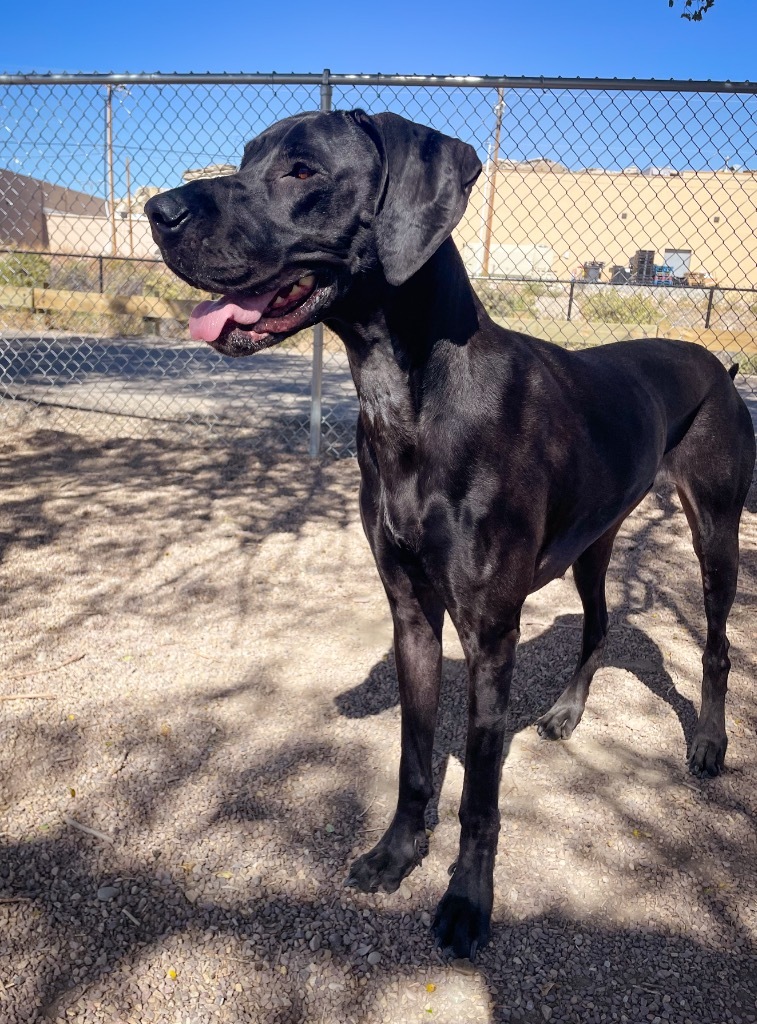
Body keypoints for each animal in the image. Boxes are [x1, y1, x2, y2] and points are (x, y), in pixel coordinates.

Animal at [145, 112, 753, 958]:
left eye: (302, 170)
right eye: (246, 158)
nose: (157, 210)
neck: (410, 399)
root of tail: (717, 364)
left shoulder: (489, 632)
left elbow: (481, 794)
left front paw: (466, 900)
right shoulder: (411, 612)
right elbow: (413, 756)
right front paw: (397, 852)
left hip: (715, 532)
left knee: (716, 645)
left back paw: (707, 743)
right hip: (593, 544)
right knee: (597, 624)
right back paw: (565, 713)